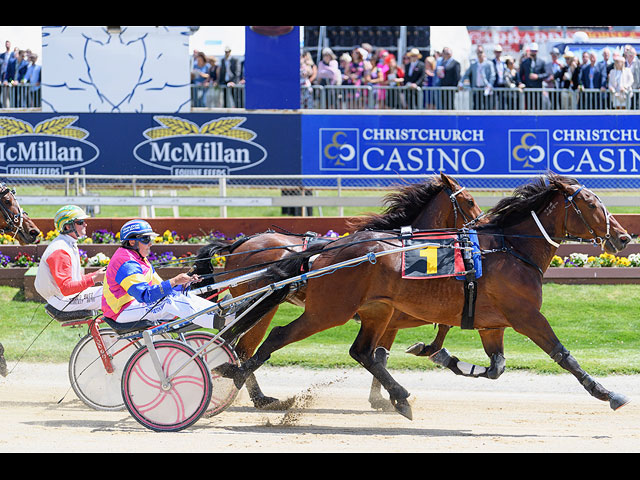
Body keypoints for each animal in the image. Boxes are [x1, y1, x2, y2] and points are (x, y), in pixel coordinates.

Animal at [192, 172, 482, 408]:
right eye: (469, 201)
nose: (481, 223)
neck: (400, 250)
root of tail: (240, 243)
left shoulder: (390, 315)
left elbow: (385, 352)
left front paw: (384, 395)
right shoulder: (398, 313)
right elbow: (434, 330)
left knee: (242, 348)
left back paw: (255, 394)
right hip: (268, 304)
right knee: (244, 348)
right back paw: (254, 394)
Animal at [224, 173, 632, 420]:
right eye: (592, 204)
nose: (624, 237)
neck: (511, 249)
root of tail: (324, 252)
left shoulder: (491, 323)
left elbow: (495, 367)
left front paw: (442, 357)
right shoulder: (526, 315)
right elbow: (563, 355)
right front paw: (608, 393)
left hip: (372, 309)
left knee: (359, 352)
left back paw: (400, 396)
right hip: (328, 310)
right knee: (267, 340)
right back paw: (239, 378)